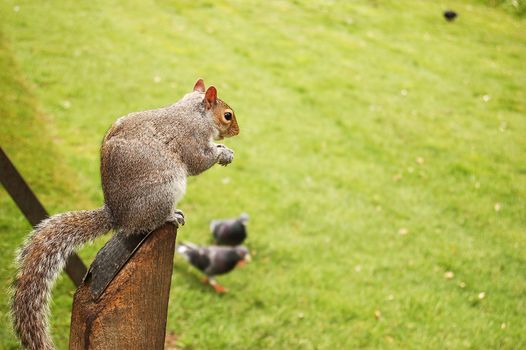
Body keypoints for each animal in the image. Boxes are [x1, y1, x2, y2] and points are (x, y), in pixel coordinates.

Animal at [10, 78, 241, 350]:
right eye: (227, 115)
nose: (237, 131)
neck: (193, 112)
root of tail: (118, 215)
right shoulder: (190, 139)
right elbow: (199, 161)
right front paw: (223, 152)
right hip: (164, 190)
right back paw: (170, 216)